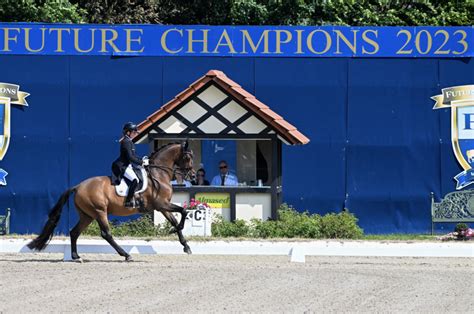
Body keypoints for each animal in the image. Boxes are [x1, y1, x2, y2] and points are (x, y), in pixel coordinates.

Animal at [28, 142, 194, 260]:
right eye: (187, 157)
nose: (192, 176)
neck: (158, 173)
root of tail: (78, 186)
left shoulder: (162, 207)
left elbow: (175, 219)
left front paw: (185, 246)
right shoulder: (161, 204)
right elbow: (183, 211)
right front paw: (176, 231)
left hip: (87, 215)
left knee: (74, 232)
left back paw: (76, 257)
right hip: (99, 211)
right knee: (106, 234)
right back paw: (126, 255)